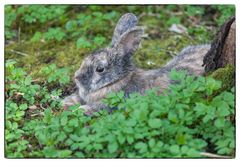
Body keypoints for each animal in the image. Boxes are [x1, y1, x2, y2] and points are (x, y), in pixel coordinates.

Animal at [62, 13, 210, 114]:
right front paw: (65, 103)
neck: (118, 81)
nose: (76, 77)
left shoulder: (112, 104)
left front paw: (78, 110)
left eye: (100, 69)